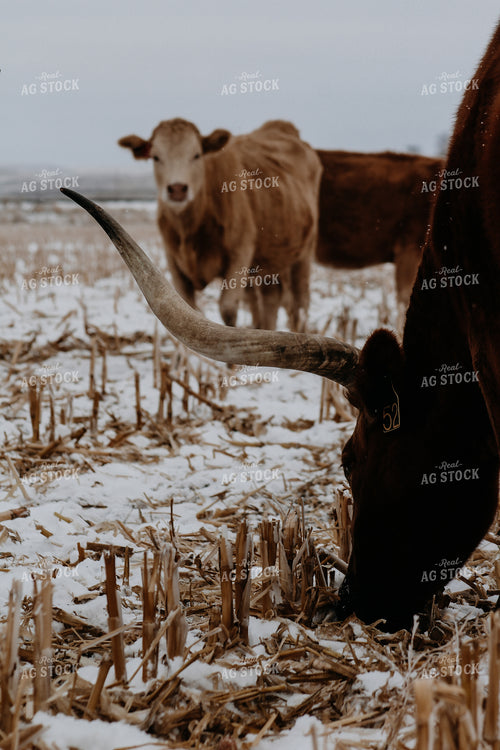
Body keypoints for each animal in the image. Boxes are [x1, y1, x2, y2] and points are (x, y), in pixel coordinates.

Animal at [118, 119, 322, 332]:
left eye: (196, 155)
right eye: (156, 157)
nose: (177, 189)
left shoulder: (241, 253)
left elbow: (228, 309)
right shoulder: (173, 261)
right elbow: (187, 313)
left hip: (303, 255)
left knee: (300, 305)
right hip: (270, 261)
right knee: (271, 298)